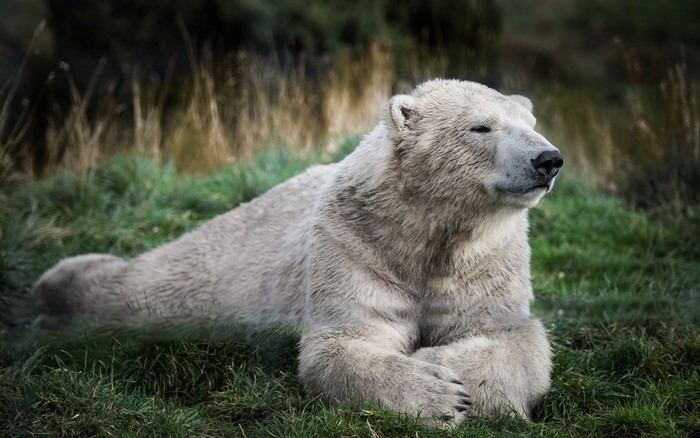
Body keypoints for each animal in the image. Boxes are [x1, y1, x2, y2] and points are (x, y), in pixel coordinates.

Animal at [31, 79, 563, 425]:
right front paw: (439, 393)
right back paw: (59, 288)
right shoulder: (356, 243)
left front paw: (447, 366)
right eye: (481, 127)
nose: (549, 158)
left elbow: (513, 338)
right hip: (227, 262)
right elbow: (342, 341)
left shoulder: (486, 261)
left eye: (532, 122)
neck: (425, 227)